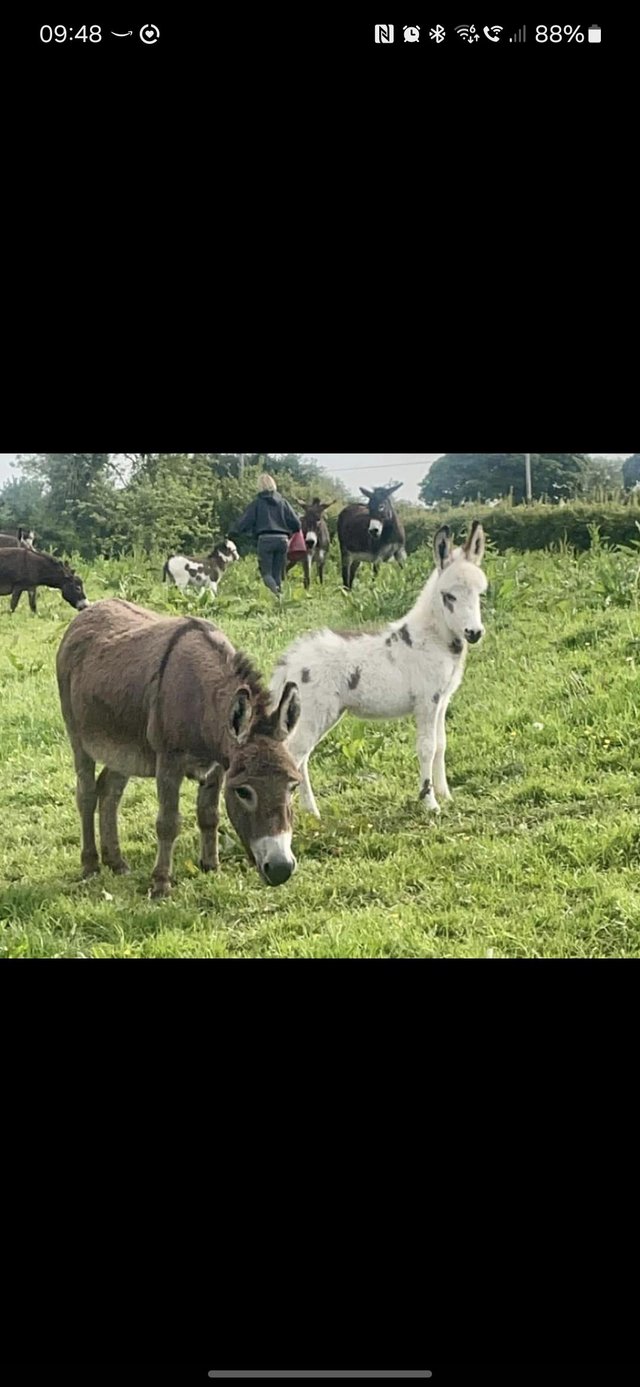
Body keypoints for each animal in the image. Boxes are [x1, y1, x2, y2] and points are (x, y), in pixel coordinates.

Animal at [266, 524, 485, 815]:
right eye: (449, 596)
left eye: (480, 594)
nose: (474, 633)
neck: (433, 638)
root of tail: (290, 659)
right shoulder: (427, 701)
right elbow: (426, 748)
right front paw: (430, 803)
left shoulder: (442, 700)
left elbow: (441, 745)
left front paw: (446, 795)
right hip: (315, 713)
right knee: (294, 754)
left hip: (320, 714)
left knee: (301, 758)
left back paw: (312, 813)